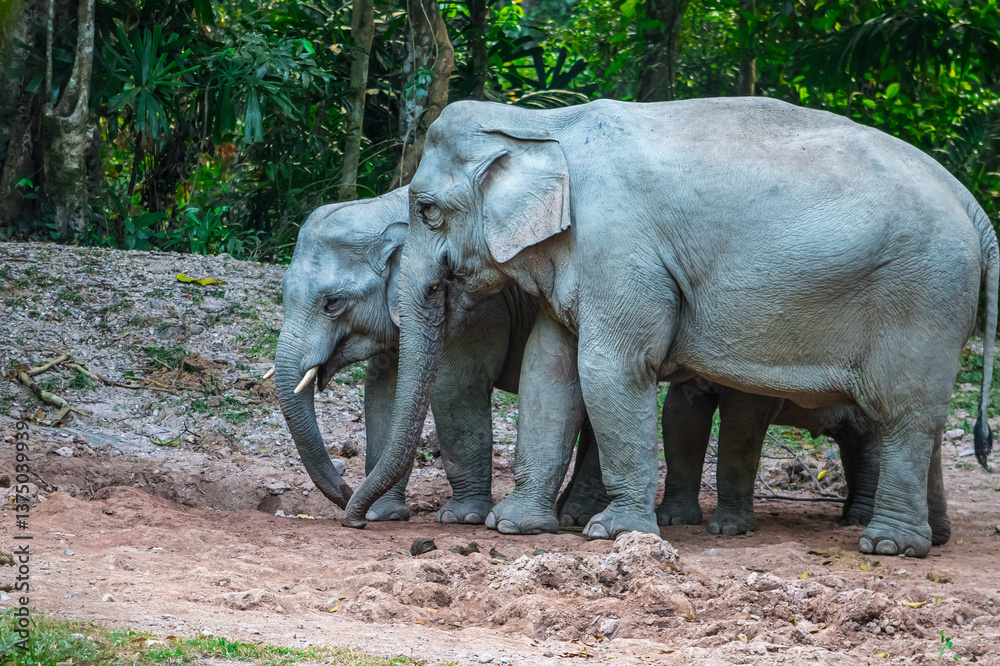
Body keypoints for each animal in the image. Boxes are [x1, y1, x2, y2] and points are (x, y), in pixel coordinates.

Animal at [338, 96, 996, 558]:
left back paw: (887, 546)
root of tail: (973, 205)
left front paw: (614, 534)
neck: (543, 123)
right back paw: (932, 538)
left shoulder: (620, 249)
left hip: (924, 296)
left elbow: (609, 368)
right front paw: (515, 526)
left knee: (903, 410)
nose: (353, 517)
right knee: (916, 415)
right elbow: (549, 371)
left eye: (426, 209)